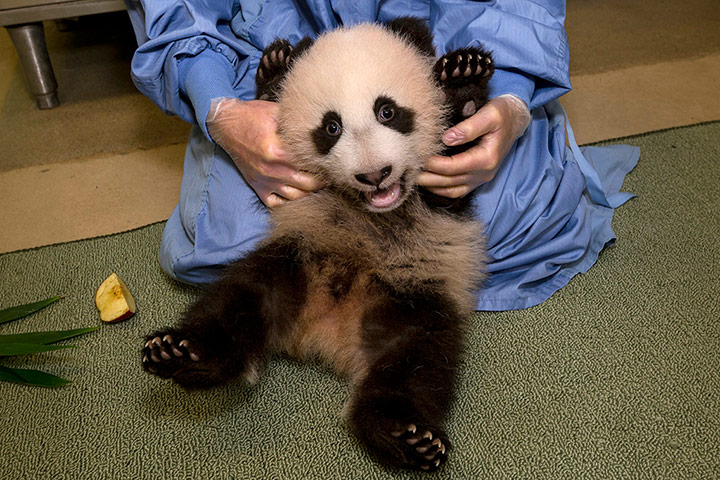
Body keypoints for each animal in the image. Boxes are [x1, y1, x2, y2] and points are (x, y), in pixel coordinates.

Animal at [142, 17, 493, 472]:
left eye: (387, 111)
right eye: (331, 127)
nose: (374, 174)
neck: (373, 208)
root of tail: (326, 334)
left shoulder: (441, 208)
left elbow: (452, 170)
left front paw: (464, 76)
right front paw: (275, 64)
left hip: (414, 295)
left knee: (419, 359)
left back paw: (403, 432)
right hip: (295, 256)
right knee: (240, 298)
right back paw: (185, 354)